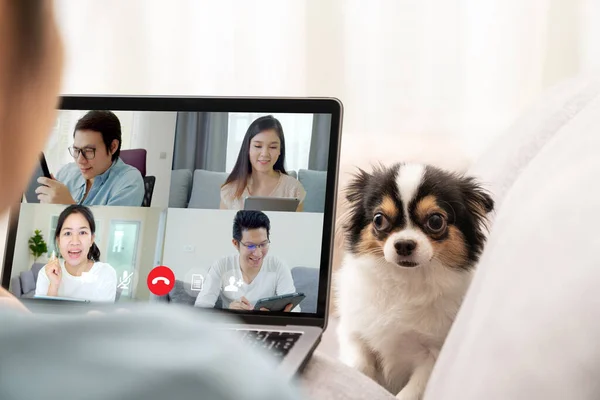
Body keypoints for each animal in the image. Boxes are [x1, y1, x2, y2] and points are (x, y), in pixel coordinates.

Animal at [336, 161, 494, 398]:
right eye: (379, 219)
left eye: (435, 221)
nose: (403, 244)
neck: (405, 281)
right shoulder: (353, 332)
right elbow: (358, 365)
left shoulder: (432, 355)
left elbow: (411, 391)